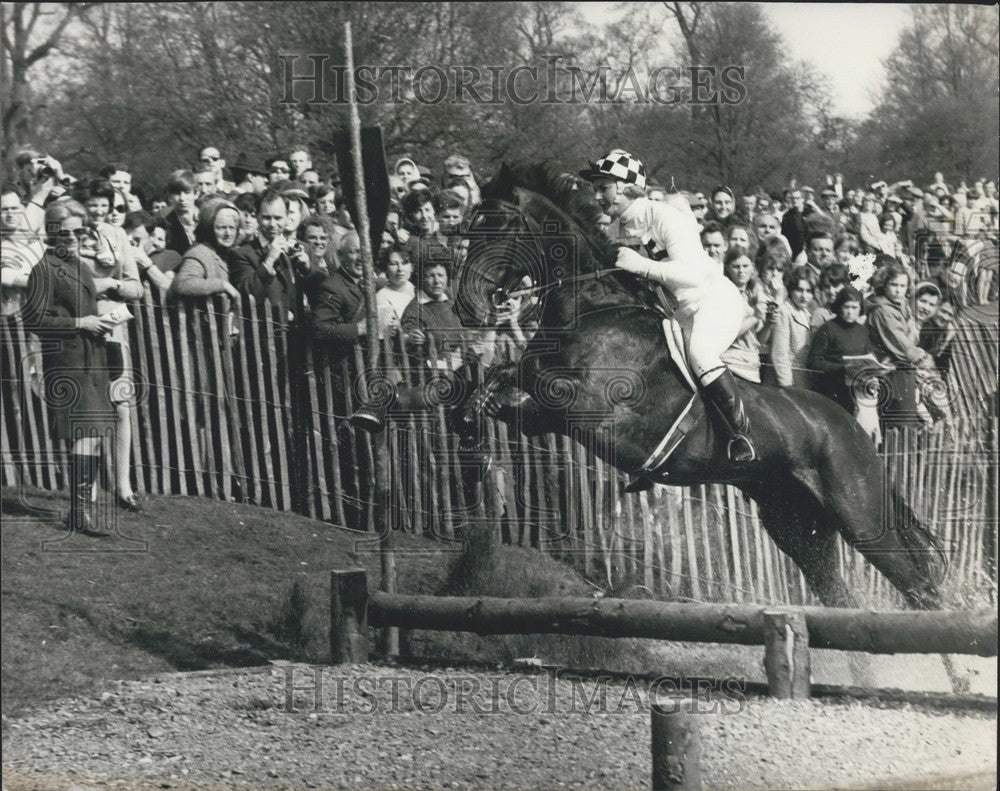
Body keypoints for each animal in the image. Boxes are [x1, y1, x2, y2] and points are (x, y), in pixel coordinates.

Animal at [452, 164, 944, 612]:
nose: (464, 307)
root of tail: (856, 431)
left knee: (920, 583)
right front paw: (470, 443)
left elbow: (530, 372)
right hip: (795, 523)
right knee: (841, 592)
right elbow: (504, 381)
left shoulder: (592, 404)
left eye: (496, 226)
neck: (593, 307)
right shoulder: (548, 415)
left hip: (859, 515)